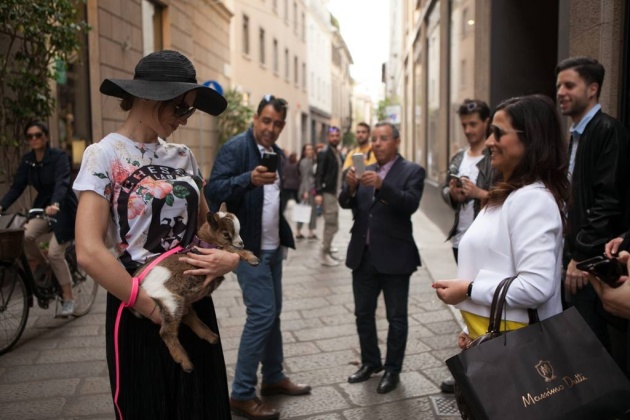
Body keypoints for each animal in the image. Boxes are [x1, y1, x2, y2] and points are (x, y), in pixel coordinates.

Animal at [133, 203, 259, 372]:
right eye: (226, 234)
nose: (241, 243)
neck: (204, 242)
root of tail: (142, 284)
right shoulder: (218, 250)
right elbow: (233, 250)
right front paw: (253, 258)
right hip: (170, 300)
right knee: (167, 331)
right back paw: (185, 362)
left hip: (179, 302)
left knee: (187, 316)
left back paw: (211, 336)